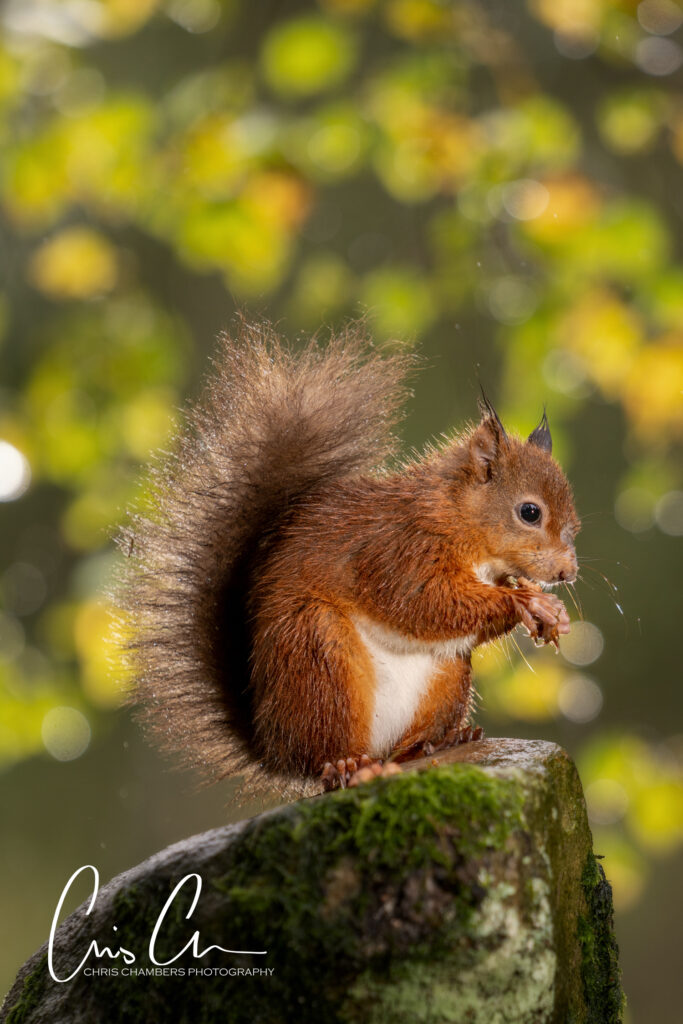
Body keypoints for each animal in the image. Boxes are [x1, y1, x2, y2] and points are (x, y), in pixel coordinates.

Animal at [117, 319, 580, 793]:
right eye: (530, 512)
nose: (568, 572)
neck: (456, 515)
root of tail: (274, 746)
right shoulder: (396, 550)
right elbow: (422, 602)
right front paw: (523, 602)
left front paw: (554, 612)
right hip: (319, 655)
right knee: (325, 755)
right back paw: (347, 765)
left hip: (446, 677)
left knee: (402, 746)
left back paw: (440, 742)